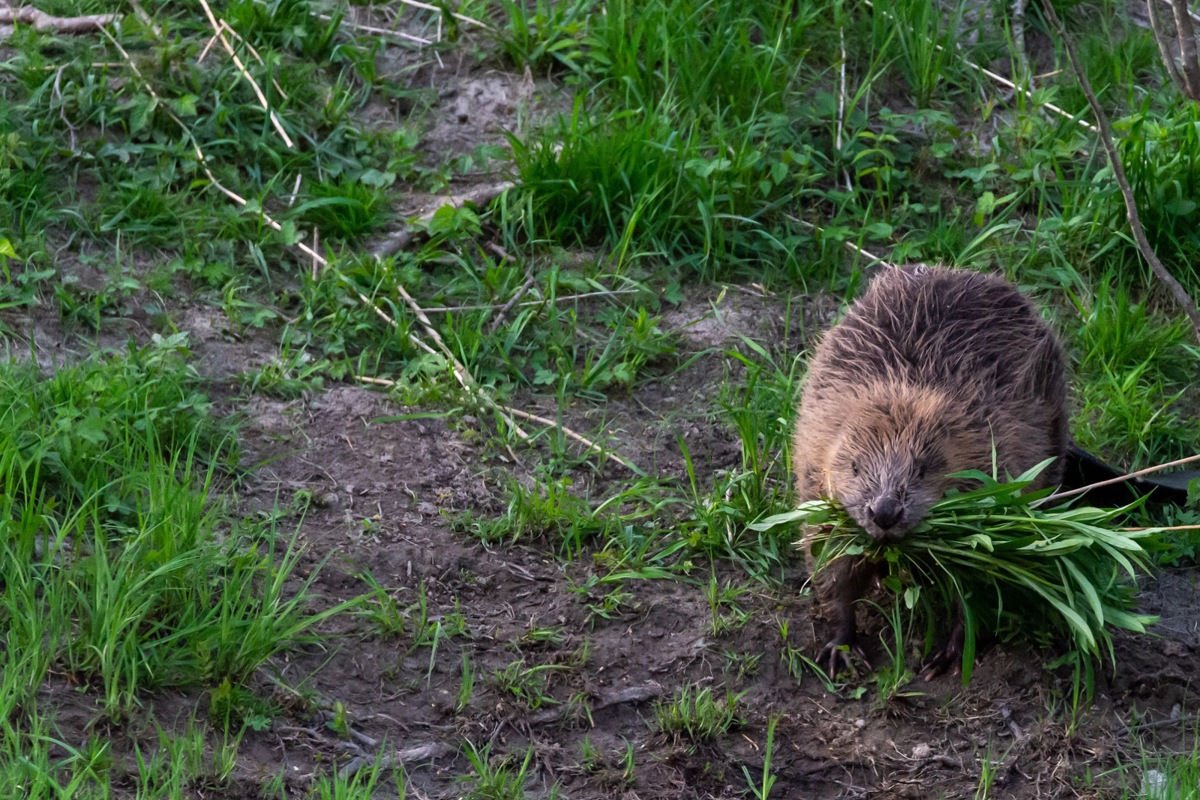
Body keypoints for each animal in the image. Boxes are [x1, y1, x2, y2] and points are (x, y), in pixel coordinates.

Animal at [796, 266, 1070, 681]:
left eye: (922, 469)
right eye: (855, 467)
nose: (885, 512)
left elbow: (976, 580)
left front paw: (947, 655)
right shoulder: (816, 473)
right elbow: (830, 563)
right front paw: (841, 650)